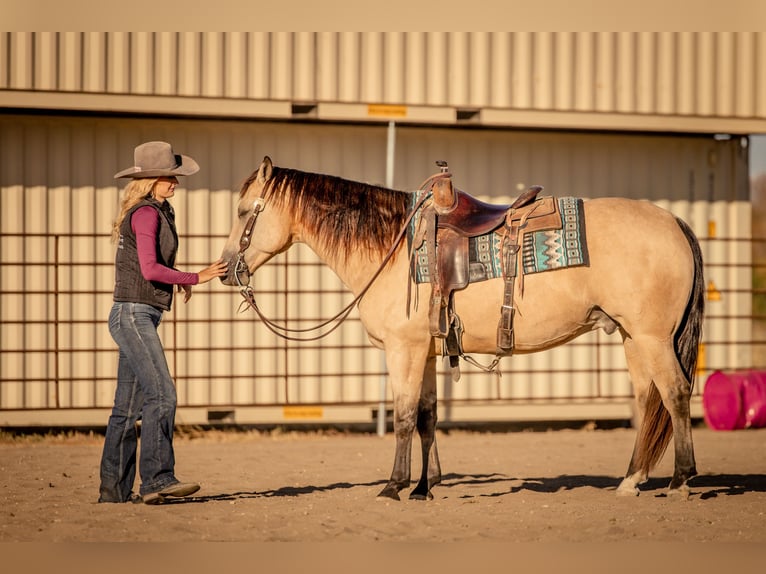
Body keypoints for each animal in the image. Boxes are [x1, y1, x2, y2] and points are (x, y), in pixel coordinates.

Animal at [219, 159, 704, 504]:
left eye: (243, 212)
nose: (224, 270)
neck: (391, 247)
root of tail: (675, 223)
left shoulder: (404, 351)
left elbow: (403, 417)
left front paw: (394, 486)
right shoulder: (428, 353)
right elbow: (428, 418)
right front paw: (423, 487)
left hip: (652, 338)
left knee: (676, 394)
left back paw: (681, 480)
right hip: (632, 337)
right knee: (648, 399)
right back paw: (631, 480)